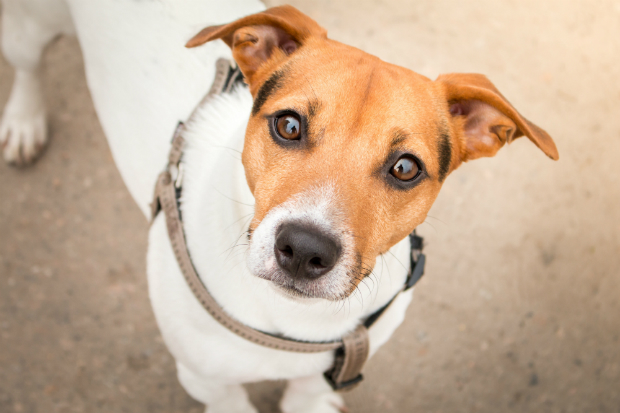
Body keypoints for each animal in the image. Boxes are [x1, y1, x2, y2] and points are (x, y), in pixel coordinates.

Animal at [0, 0, 560, 412]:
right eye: (288, 125)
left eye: (406, 168)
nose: (305, 250)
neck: (294, 321)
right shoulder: (207, 380)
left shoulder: (334, 368)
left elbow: (308, 393)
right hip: (28, 28)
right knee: (27, 66)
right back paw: (24, 121)